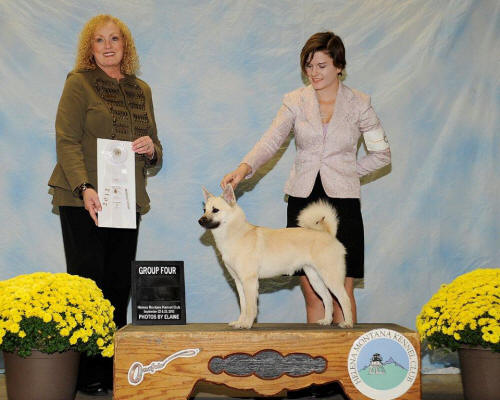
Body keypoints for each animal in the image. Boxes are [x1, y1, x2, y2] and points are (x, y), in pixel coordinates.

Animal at [197, 184, 354, 328]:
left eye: (215, 210)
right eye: (204, 210)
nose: (200, 220)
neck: (235, 233)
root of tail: (328, 234)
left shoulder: (249, 281)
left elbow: (251, 307)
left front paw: (247, 323)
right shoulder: (239, 282)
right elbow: (243, 305)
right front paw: (240, 322)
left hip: (331, 277)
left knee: (344, 299)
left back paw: (347, 323)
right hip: (314, 278)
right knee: (327, 299)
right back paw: (326, 321)